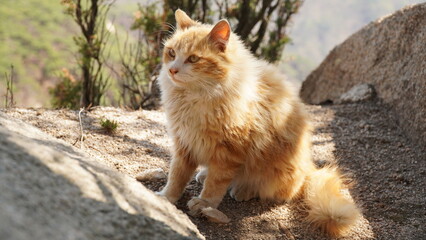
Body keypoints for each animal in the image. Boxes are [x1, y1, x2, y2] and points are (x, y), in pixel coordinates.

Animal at [156, 8, 360, 236]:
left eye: (193, 59)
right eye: (172, 53)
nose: (172, 70)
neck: (193, 99)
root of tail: (308, 167)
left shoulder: (228, 152)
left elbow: (215, 184)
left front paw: (204, 203)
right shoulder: (184, 143)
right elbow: (176, 176)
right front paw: (166, 199)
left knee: (282, 190)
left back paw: (243, 189)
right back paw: (205, 173)